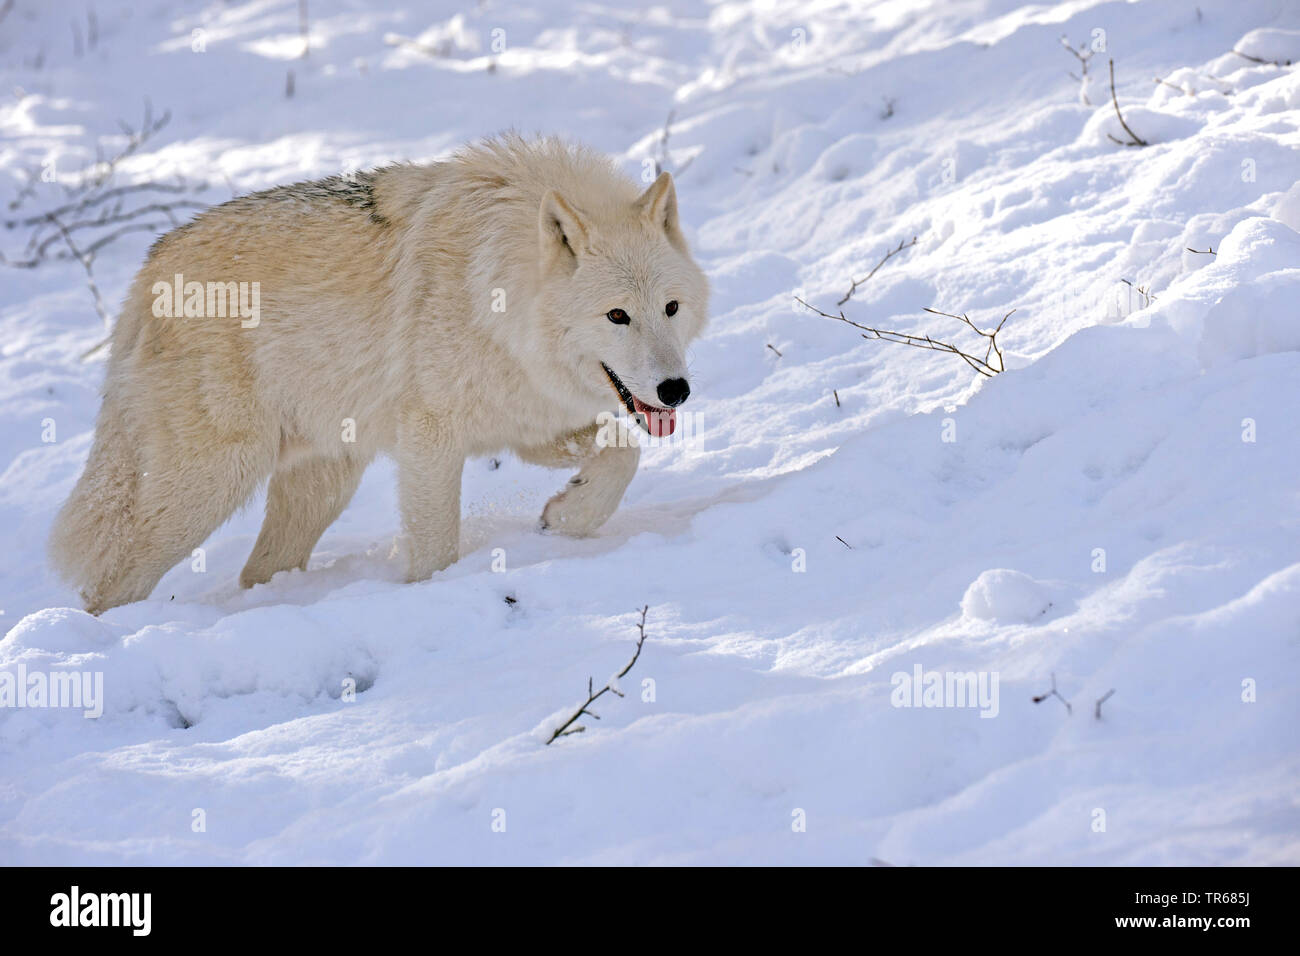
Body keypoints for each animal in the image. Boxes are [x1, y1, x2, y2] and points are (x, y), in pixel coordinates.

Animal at [50, 132, 707, 613]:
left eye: (670, 308)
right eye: (617, 315)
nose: (675, 390)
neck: (496, 293)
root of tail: (147, 272)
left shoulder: (527, 425)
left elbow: (622, 452)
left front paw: (568, 515)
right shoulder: (431, 441)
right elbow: (435, 547)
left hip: (321, 483)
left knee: (257, 572)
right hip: (213, 484)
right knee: (109, 587)